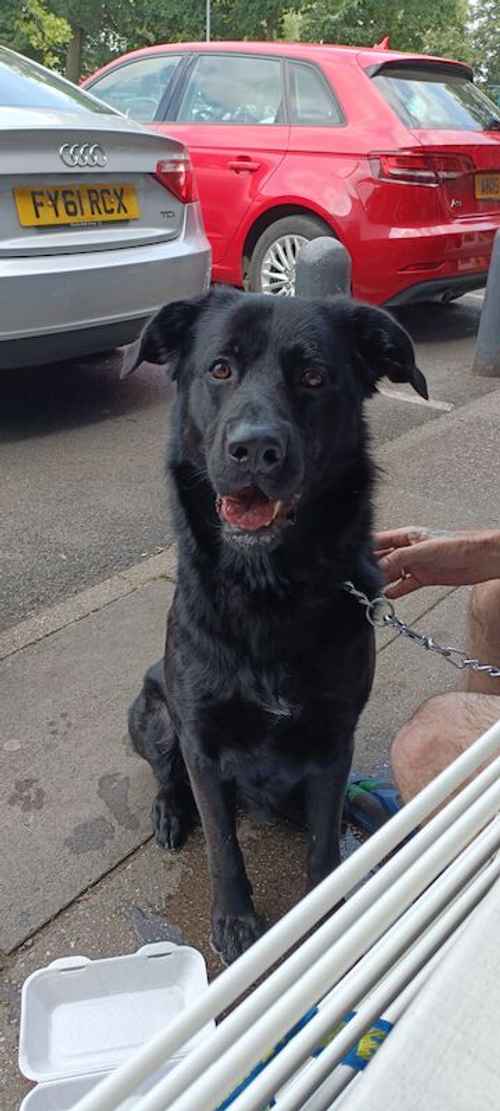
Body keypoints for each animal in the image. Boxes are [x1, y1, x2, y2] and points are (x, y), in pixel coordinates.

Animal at [125, 286, 426, 964]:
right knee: (165, 774)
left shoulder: (334, 740)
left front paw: (327, 910)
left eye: (314, 377)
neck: (267, 589)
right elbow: (223, 845)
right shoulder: (201, 742)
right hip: (150, 712)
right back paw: (169, 813)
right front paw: (236, 921)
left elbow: (323, 841)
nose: (256, 450)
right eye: (219, 369)